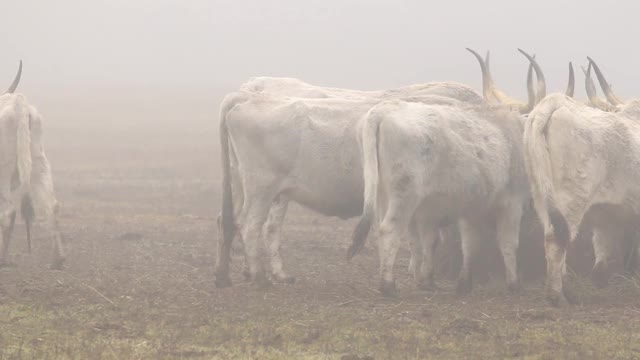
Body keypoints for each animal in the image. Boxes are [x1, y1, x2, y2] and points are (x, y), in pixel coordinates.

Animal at [0, 62, 65, 270]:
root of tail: (18, 104)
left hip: (4, 171)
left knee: (7, 212)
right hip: (38, 163)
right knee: (52, 205)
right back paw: (57, 260)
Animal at [524, 54, 640, 306]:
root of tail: (555, 102)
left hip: (541, 196)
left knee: (554, 236)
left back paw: (568, 291)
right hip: (572, 198)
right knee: (557, 241)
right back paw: (557, 297)